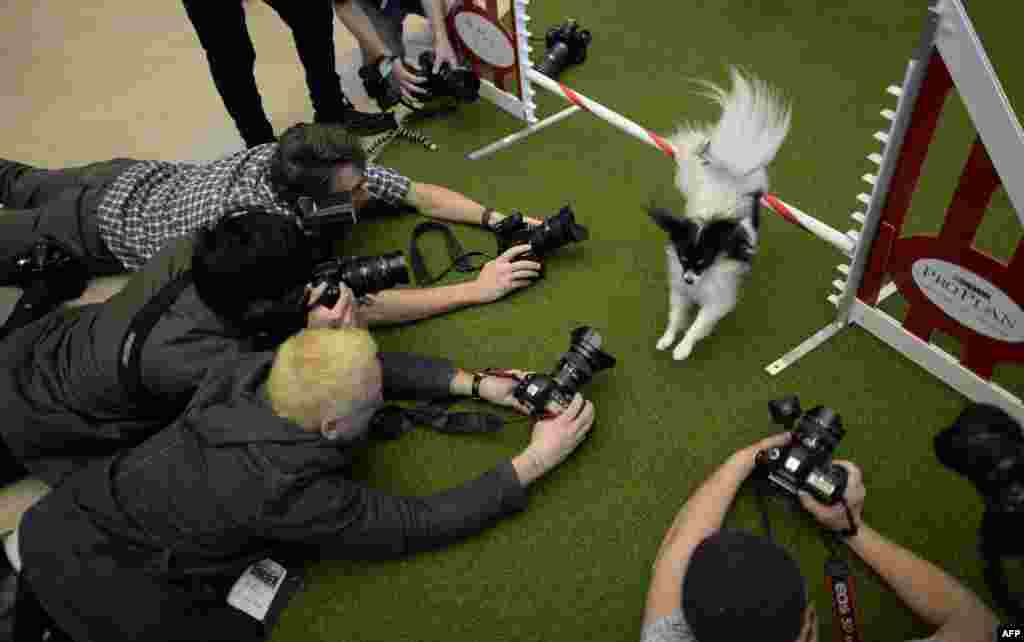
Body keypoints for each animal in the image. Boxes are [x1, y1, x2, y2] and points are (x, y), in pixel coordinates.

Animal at [647, 70, 790, 364]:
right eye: (683, 258)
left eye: (702, 261)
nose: (689, 279)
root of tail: (730, 174)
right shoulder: (680, 292)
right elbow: (675, 318)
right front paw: (667, 339)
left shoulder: (716, 301)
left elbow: (696, 326)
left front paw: (682, 349)